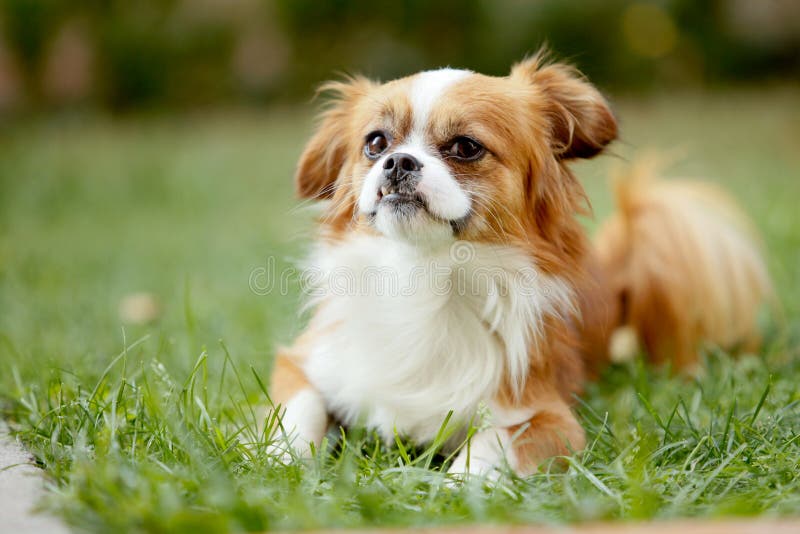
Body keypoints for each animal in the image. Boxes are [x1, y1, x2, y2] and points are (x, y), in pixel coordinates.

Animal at [266, 54, 772, 480]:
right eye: (375, 143)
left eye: (466, 147)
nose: (397, 161)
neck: (424, 274)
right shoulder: (304, 363)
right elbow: (300, 409)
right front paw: (278, 461)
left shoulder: (546, 418)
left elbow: (489, 446)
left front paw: (454, 489)